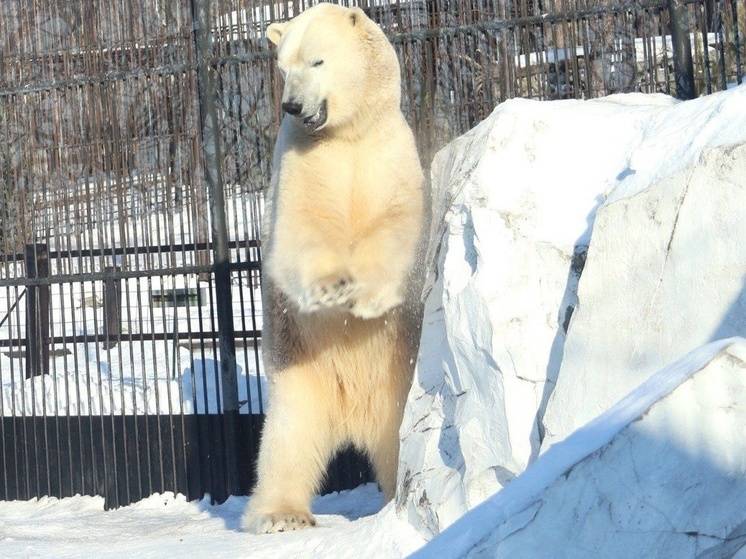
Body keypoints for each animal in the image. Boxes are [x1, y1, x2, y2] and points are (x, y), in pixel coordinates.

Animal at [244, 2, 424, 532]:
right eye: (283, 67)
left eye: (318, 61)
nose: (292, 106)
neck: (346, 135)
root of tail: (351, 419)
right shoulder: (301, 161)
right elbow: (301, 228)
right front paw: (331, 289)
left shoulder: (389, 152)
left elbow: (396, 224)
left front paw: (365, 298)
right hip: (299, 375)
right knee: (287, 441)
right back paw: (281, 514)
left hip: (395, 386)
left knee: (393, 442)